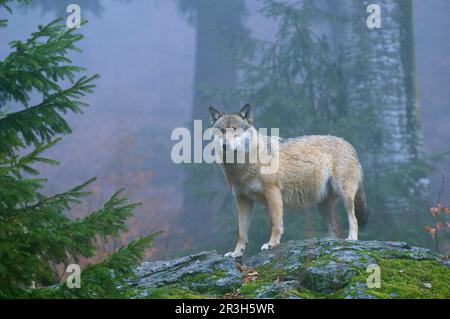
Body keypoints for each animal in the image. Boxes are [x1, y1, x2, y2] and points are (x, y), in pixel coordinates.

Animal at [209, 104, 368, 258]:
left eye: (235, 129)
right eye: (222, 130)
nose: (224, 145)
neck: (243, 165)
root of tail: (350, 145)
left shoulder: (273, 193)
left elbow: (275, 223)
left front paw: (271, 244)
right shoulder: (243, 200)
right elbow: (241, 233)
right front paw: (236, 253)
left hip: (345, 196)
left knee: (353, 219)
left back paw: (351, 238)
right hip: (323, 205)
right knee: (335, 227)